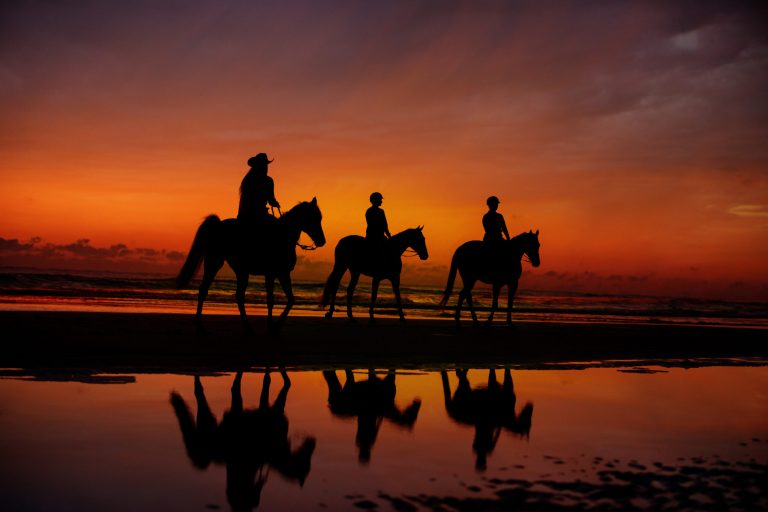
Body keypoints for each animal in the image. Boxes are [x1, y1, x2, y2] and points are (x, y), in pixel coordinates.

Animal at [171, 372, 316, 512]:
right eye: (307, 463)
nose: (312, 441)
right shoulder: (271, 409)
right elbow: (268, 384)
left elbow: (269, 381)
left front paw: (286, 381)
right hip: (209, 424)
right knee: (202, 393)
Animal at [176, 198, 324, 334]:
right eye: (313, 218)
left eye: (320, 218)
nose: (322, 241)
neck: (283, 236)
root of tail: (217, 225)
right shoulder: (276, 273)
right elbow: (277, 300)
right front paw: (273, 326)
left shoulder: (279, 274)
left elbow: (285, 299)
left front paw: (273, 326)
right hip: (215, 262)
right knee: (208, 290)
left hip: (239, 270)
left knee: (233, 295)